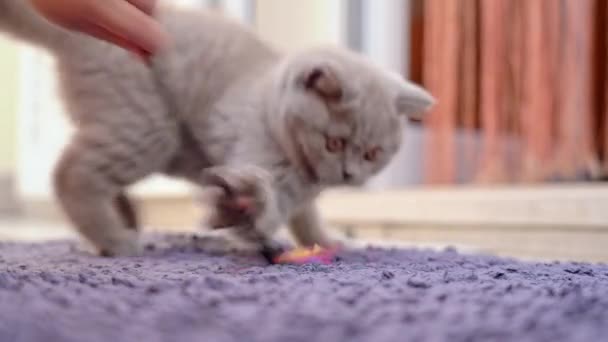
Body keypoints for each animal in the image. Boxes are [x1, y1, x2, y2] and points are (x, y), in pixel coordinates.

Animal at [2, 0, 434, 256]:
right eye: (334, 143)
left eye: (373, 154)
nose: (350, 174)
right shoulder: (260, 157)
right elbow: (272, 205)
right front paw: (248, 217)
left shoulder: (302, 194)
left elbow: (306, 216)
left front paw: (326, 241)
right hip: (145, 126)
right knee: (70, 174)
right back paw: (117, 241)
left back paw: (125, 223)